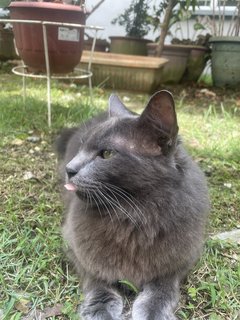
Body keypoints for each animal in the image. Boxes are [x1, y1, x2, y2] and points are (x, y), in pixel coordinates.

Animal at [56, 90, 208, 320]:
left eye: (107, 154)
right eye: (81, 147)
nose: (69, 168)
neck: (133, 216)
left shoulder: (184, 257)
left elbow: (163, 286)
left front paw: (153, 311)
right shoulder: (74, 246)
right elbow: (97, 279)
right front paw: (101, 310)